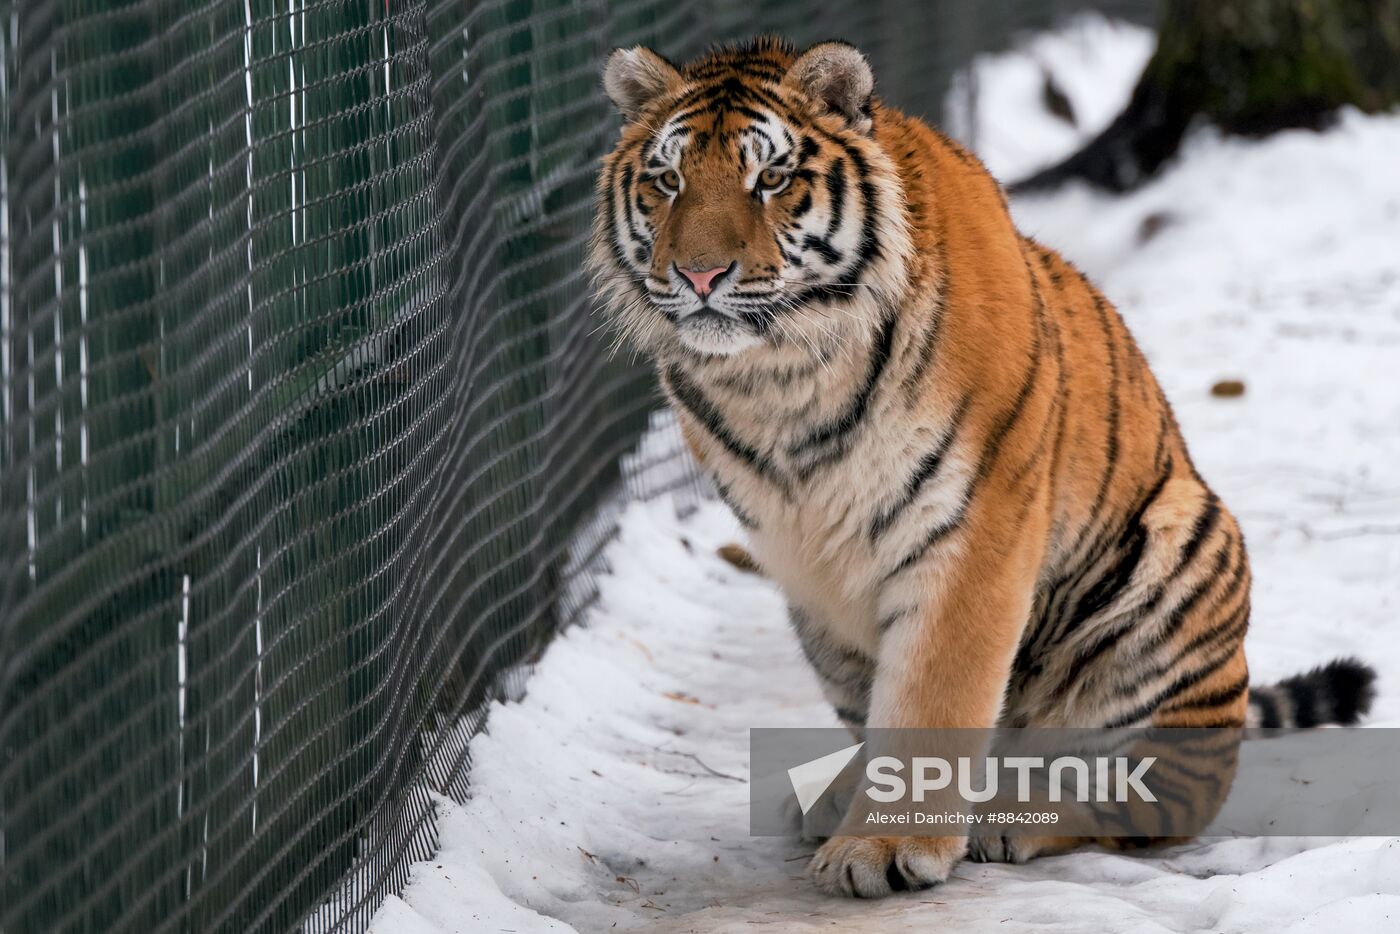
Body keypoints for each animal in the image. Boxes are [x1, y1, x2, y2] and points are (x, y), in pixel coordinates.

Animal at [585, 38, 1372, 896]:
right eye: (668, 181)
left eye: (771, 179)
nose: (699, 276)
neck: (783, 375)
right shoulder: (803, 553)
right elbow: (876, 698)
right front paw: (861, 808)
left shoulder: (973, 528)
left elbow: (930, 696)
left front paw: (883, 850)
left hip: (1178, 561)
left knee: (1157, 798)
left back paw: (1016, 815)